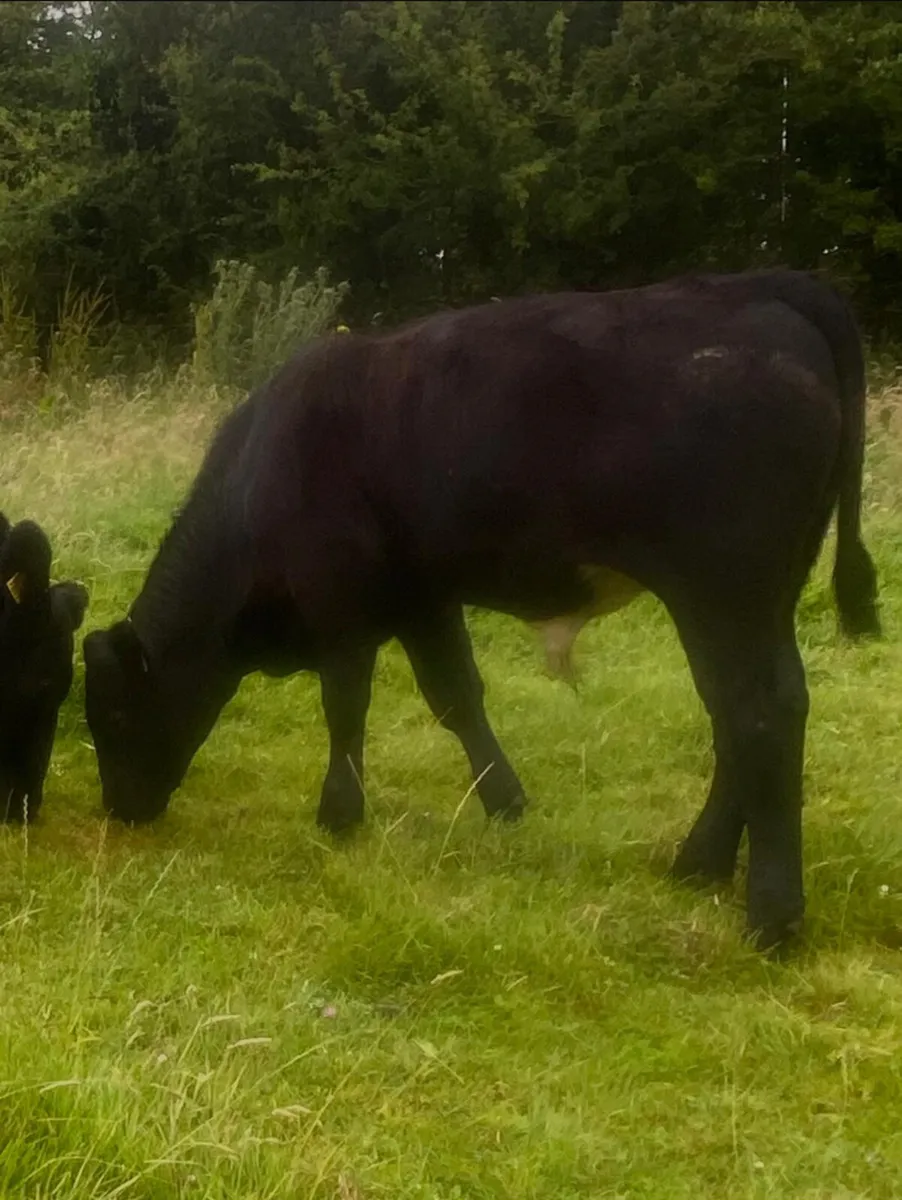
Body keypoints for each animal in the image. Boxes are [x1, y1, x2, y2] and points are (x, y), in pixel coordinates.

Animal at [83, 269, 881, 950]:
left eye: (114, 714)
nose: (119, 808)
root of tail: (762, 286)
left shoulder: (339, 604)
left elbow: (345, 706)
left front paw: (339, 814)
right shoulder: (422, 596)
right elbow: (456, 696)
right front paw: (506, 803)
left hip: (725, 590)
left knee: (758, 714)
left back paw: (770, 916)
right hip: (762, 596)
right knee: (741, 712)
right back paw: (701, 864)